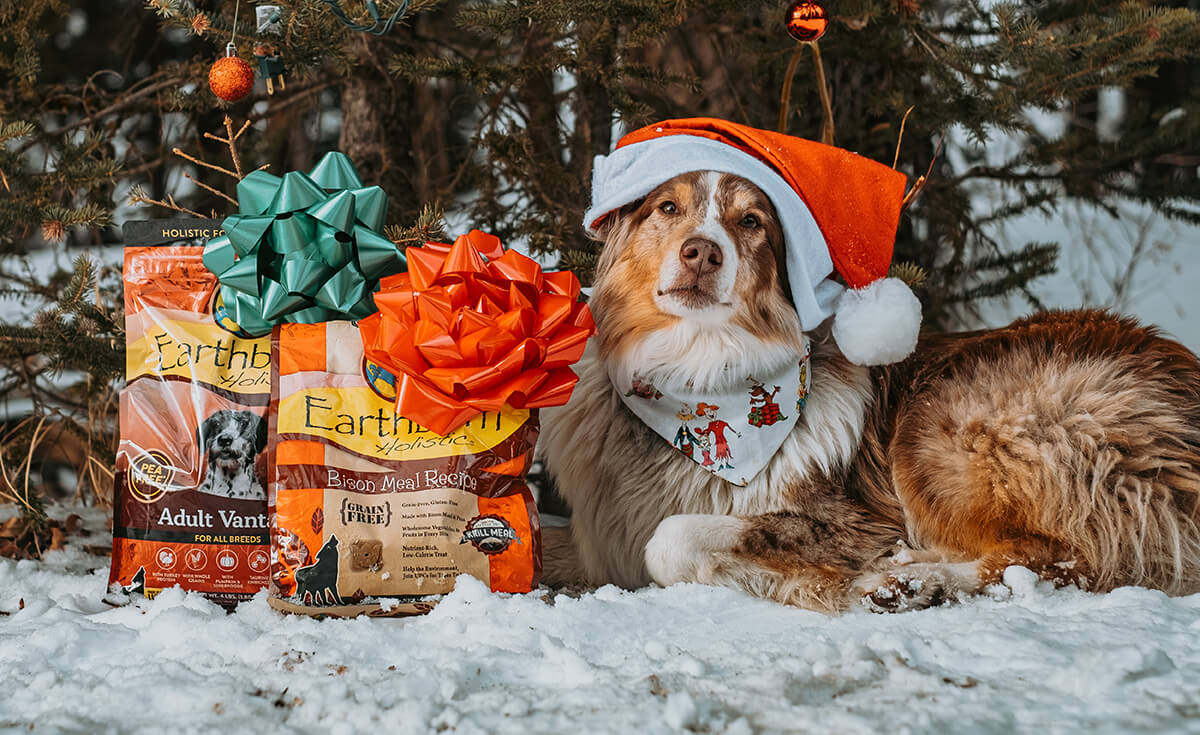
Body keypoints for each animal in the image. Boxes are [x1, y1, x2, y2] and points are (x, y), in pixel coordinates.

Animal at [540, 169, 1200, 612]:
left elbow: (670, 540)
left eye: (751, 221)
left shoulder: (846, 519)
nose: (701, 252)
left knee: (1065, 558)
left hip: (948, 426)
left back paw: (916, 585)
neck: (695, 372)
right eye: (667, 207)